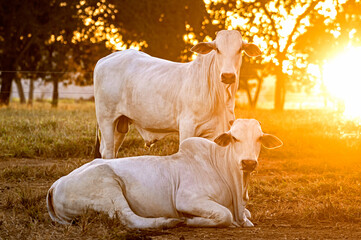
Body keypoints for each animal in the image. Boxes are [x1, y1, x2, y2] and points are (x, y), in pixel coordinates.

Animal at [46, 119, 282, 228]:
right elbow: (225, 215)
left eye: (259, 138)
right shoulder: (187, 199)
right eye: (234, 138)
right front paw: (190, 220)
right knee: (129, 218)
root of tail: (55, 186)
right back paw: (169, 221)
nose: (248, 162)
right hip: (107, 187)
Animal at [94, 30, 260, 158]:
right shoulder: (187, 127)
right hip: (106, 119)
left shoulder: (216, 132)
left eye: (239, 49)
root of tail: (105, 59)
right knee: (108, 151)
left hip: (120, 123)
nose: (228, 76)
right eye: (218, 49)